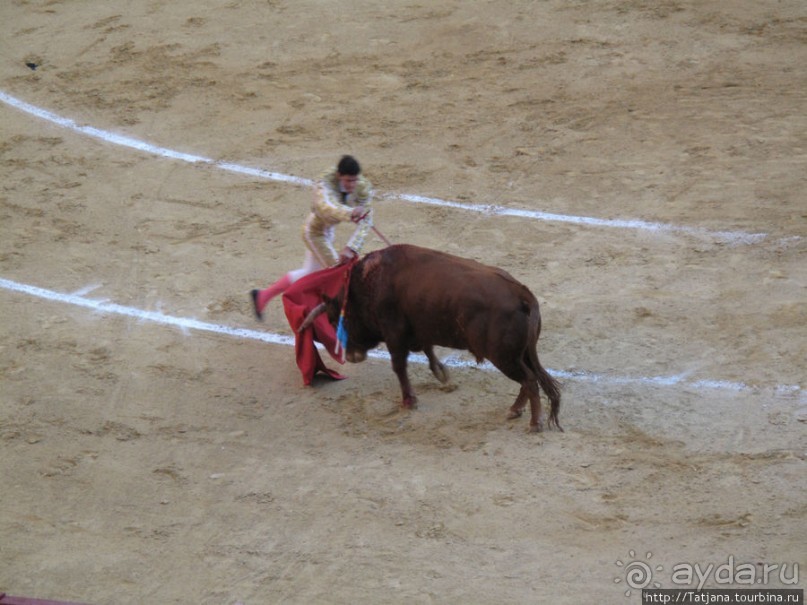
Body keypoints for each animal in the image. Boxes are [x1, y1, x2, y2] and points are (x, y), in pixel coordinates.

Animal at [304, 243, 560, 432]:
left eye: (337, 321)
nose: (351, 356)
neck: (369, 283)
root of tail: (522, 293)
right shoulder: (417, 330)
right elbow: (427, 349)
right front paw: (440, 373)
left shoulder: (394, 334)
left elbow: (399, 367)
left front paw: (409, 401)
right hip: (521, 354)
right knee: (530, 379)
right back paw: (515, 410)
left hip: (504, 357)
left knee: (529, 380)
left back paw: (534, 423)